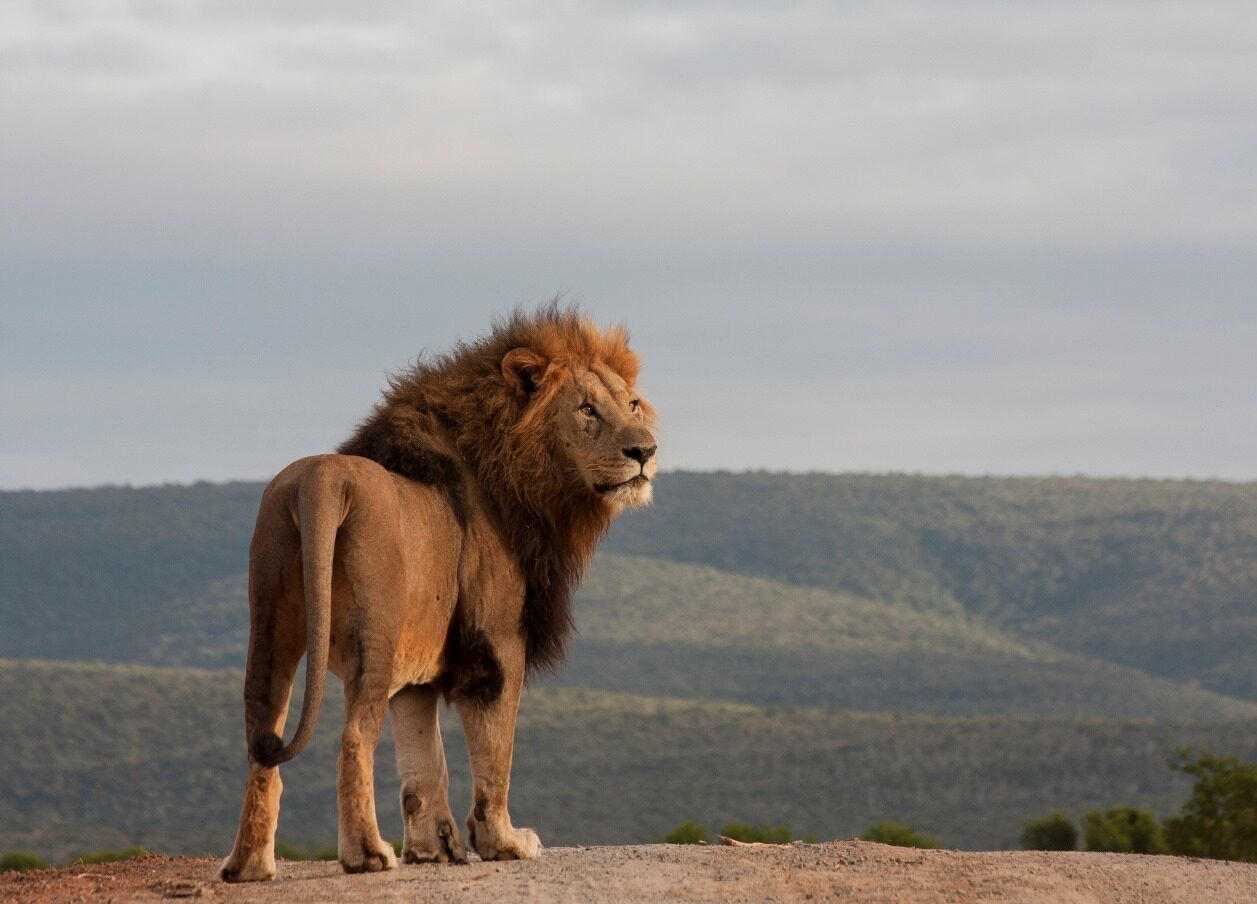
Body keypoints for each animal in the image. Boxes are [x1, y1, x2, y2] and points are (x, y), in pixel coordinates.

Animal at [221, 305, 663, 885]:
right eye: (587, 409)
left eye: (631, 404)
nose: (645, 450)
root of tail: (320, 481)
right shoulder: (496, 647)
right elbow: (495, 754)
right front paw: (503, 843)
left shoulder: (417, 674)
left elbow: (423, 764)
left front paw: (433, 849)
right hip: (374, 638)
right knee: (354, 737)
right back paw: (367, 855)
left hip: (272, 627)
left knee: (261, 739)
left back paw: (250, 865)